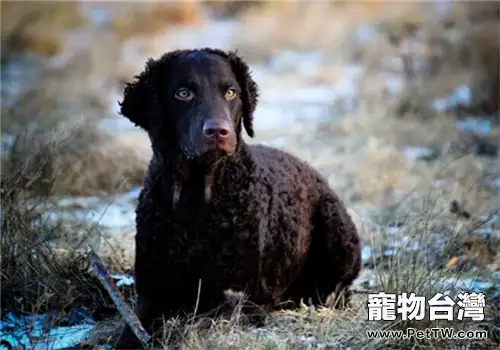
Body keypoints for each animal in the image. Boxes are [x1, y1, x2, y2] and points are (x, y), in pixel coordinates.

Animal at [115, 48, 362, 348]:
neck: (196, 203)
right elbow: (131, 332)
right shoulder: (153, 293)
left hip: (336, 234)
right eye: (183, 93)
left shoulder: (236, 297)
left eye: (231, 92)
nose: (218, 131)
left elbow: (198, 326)